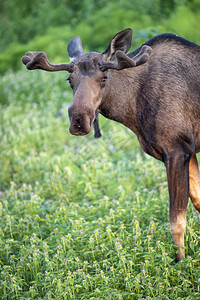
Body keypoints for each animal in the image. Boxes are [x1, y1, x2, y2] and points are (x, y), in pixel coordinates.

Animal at [21, 28, 200, 262]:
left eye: (104, 77)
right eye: (69, 79)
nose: (79, 120)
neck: (132, 110)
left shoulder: (176, 149)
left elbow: (176, 222)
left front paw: (181, 263)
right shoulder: (189, 150)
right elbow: (197, 201)